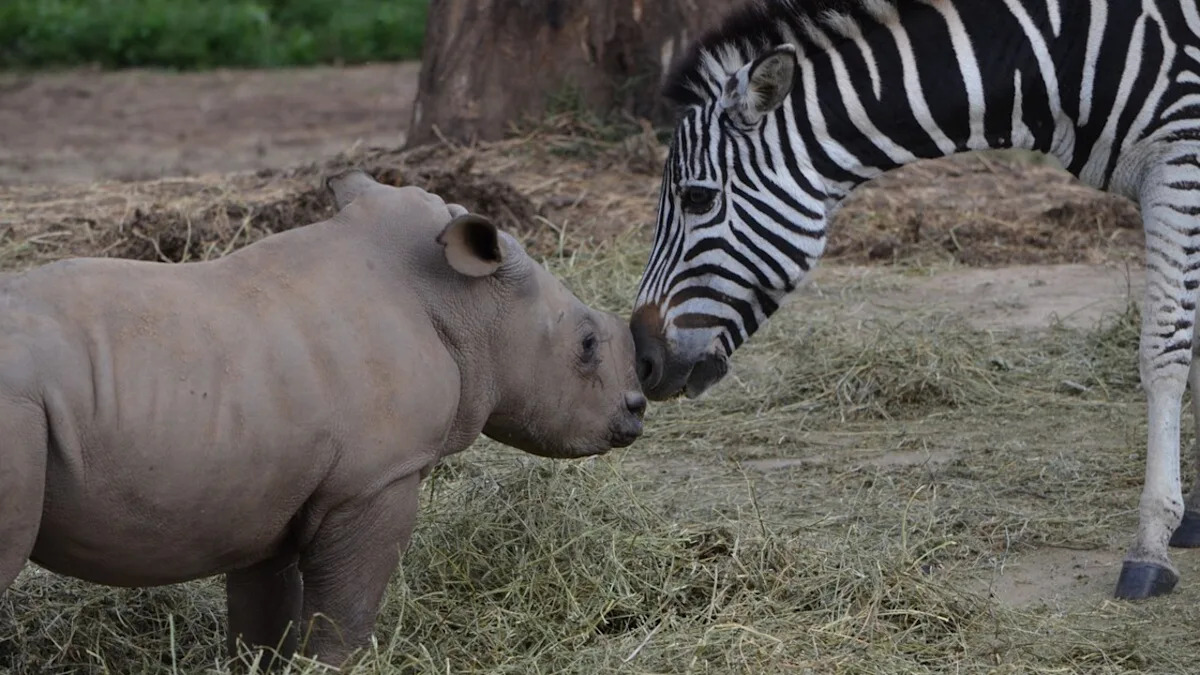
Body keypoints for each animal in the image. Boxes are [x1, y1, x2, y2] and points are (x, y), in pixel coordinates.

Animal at [0, 170, 646, 667]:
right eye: (587, 345)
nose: (637, 412)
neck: (462, 300)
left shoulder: (269, 490)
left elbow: (265, 611)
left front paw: (259, 665)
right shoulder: (375, 480)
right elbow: (347, 606)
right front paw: (336, 665)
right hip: (17, 408)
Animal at [628, 0, 1200, 600]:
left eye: (698, 198)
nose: (641, 361)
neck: (1060, 52)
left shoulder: (1178, 159)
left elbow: (1164, 350)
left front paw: (1152, 543)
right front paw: (1193, 518)